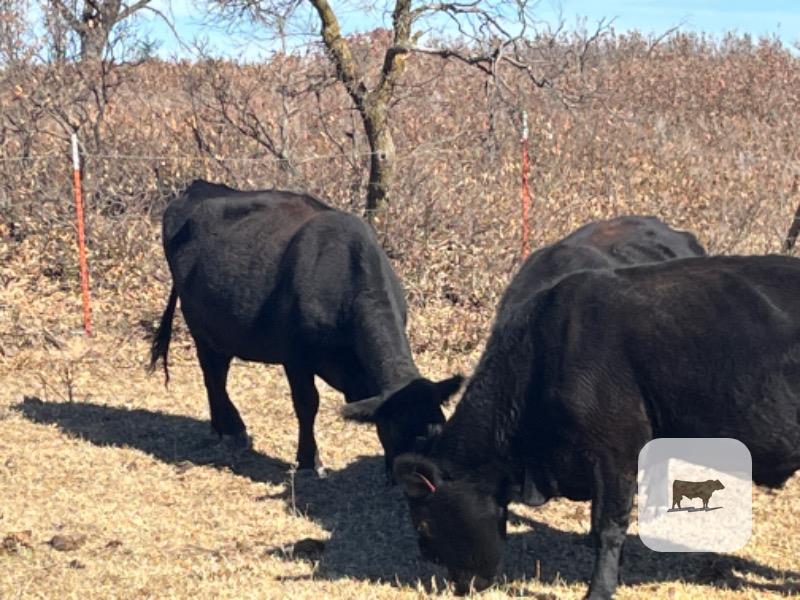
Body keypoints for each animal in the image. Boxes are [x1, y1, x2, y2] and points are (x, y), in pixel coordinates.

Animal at [148, 179, 462, 478]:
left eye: (438, 431)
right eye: (397, 431)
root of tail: (196, 188)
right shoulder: (295, 356)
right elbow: (307, 404)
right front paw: (309, 461)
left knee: (218, 373)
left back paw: (221, 426)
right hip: (199, 327)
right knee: (213, 375)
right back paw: (232, 430)